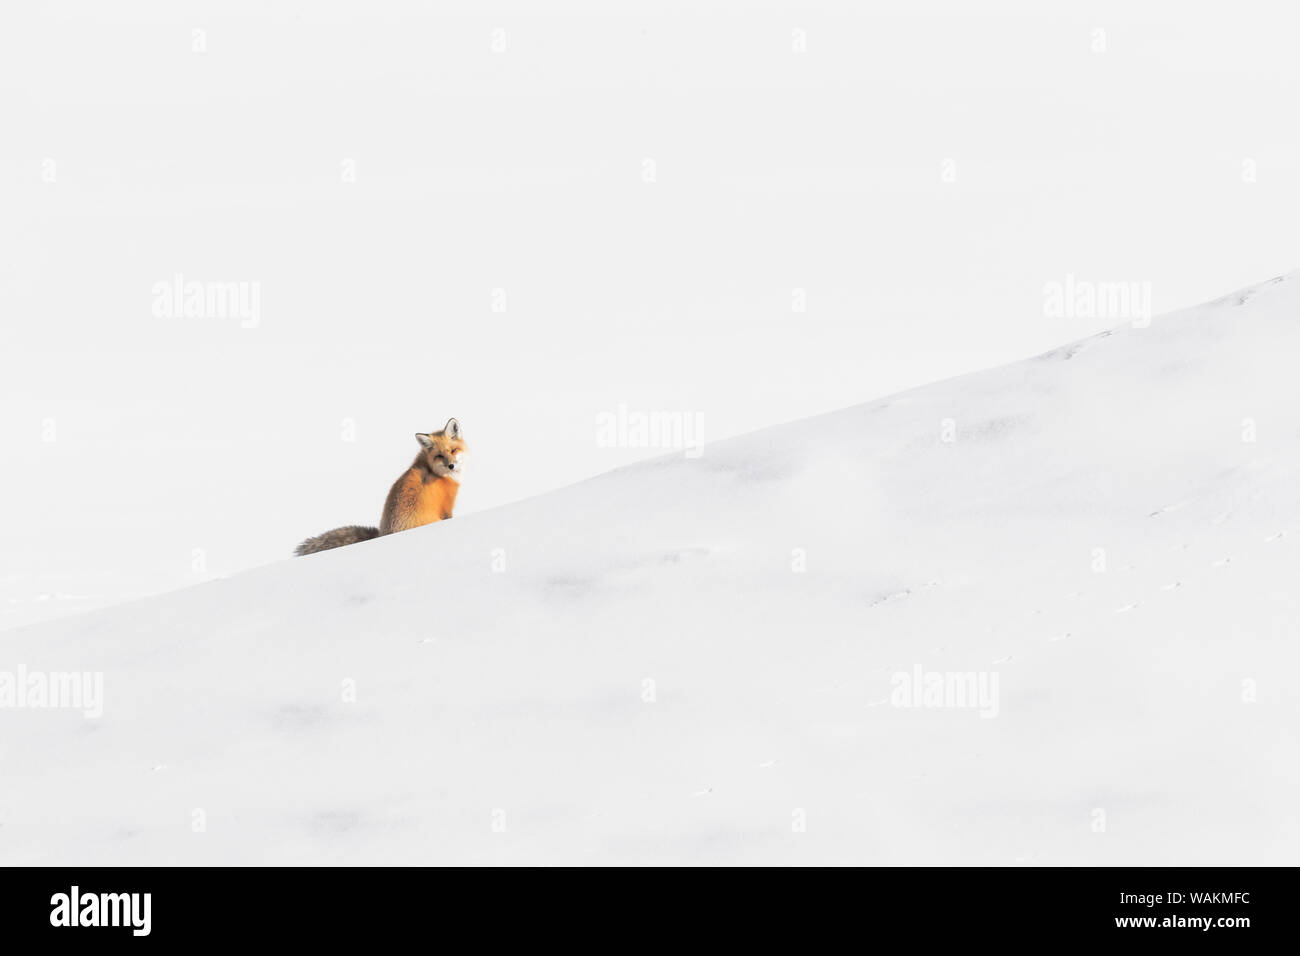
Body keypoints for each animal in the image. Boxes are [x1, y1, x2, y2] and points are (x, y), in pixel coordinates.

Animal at [294, 418, 467, 556]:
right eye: (439, 456)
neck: (433, 470)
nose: (451, 466)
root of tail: (383, 534)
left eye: (453, 450)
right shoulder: (446, 510)